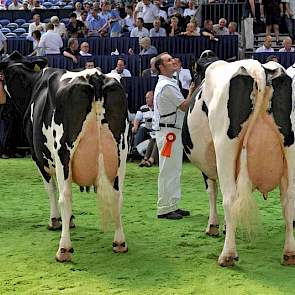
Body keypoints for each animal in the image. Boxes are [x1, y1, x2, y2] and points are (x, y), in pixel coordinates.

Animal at [0, 52, 130, 262]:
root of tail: (95, 76)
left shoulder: (39, 158)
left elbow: (51, 189)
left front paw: (56, 221)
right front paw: (70, 220)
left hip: (63, 153)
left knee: (65, 197)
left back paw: (64, 249)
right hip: (121, 152)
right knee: (117, 195)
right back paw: (119, 242)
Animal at [183, 58, 295, 268]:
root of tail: (259, 68)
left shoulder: (209, 167)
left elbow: (212, 191)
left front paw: (213, 226)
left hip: (224, 146)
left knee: (230, 198)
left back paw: (227, 255)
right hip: (291, 149)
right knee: (289, 200)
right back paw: (289, 254)